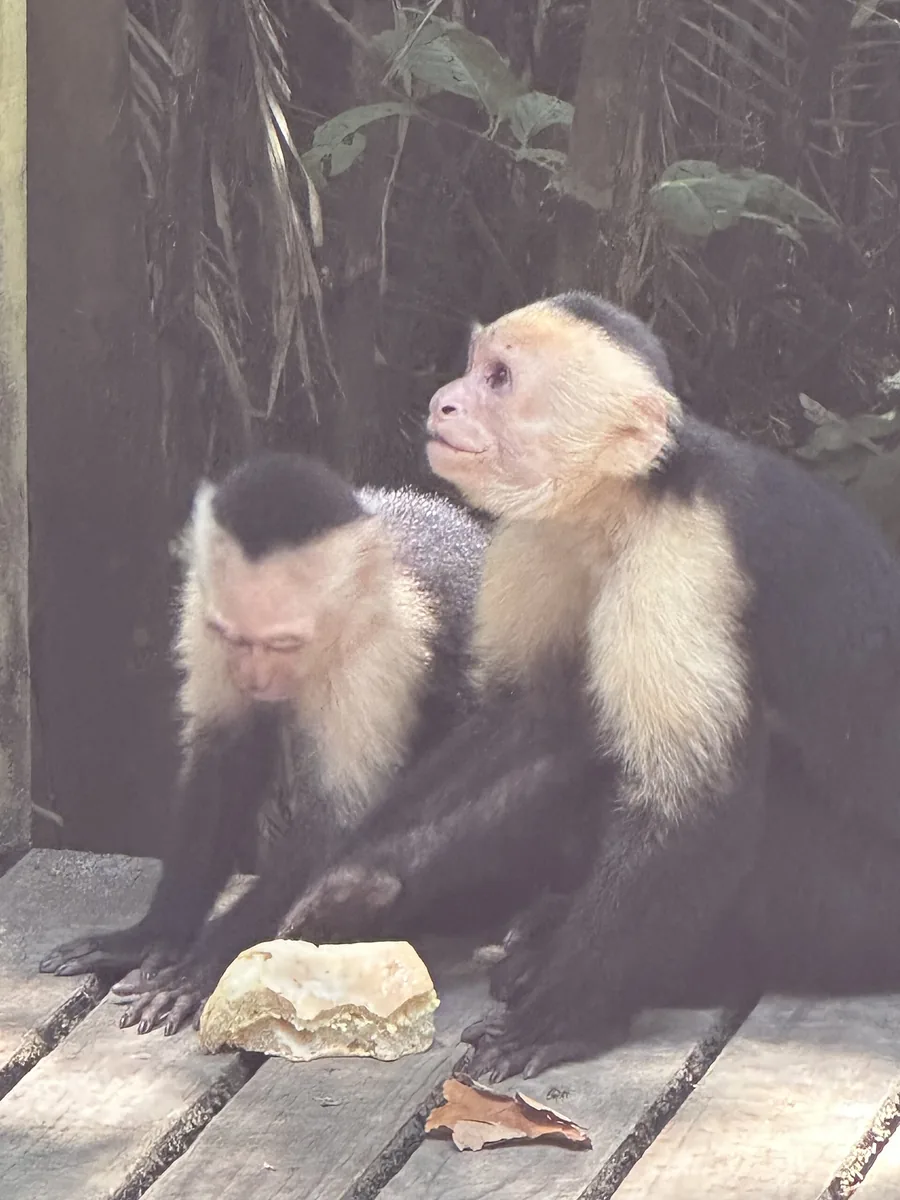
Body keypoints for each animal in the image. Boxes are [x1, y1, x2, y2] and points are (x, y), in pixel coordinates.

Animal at [39, 450, 500, 1035]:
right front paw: (155, 934)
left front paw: (203, 967)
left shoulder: (382, 648)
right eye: (237, 638)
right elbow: (220, 759)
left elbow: (334, 829)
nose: (255, 677)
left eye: (283, 643)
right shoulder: (204, 613)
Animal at [277, 291, 900, 1083]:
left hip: (861, 906)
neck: (626, 505)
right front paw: (354, 884)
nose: (444, 401)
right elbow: (528, 719)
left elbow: (687, 805)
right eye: (474, 366)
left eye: (500, 379)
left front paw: (556, 1016)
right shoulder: (540, 536)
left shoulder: (682, 566)